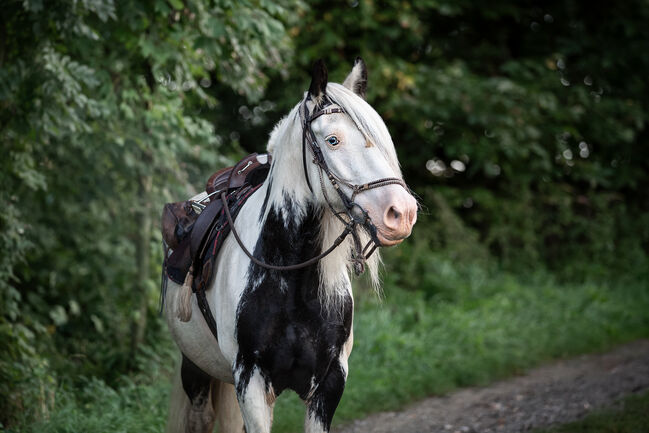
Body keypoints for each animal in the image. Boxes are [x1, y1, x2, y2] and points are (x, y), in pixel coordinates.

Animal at [161, 58, 416, 432]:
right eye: (333, 140)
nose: (402, 213)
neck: (294, 279)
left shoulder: (330, 382)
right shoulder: (251, 383)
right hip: (195, 369)